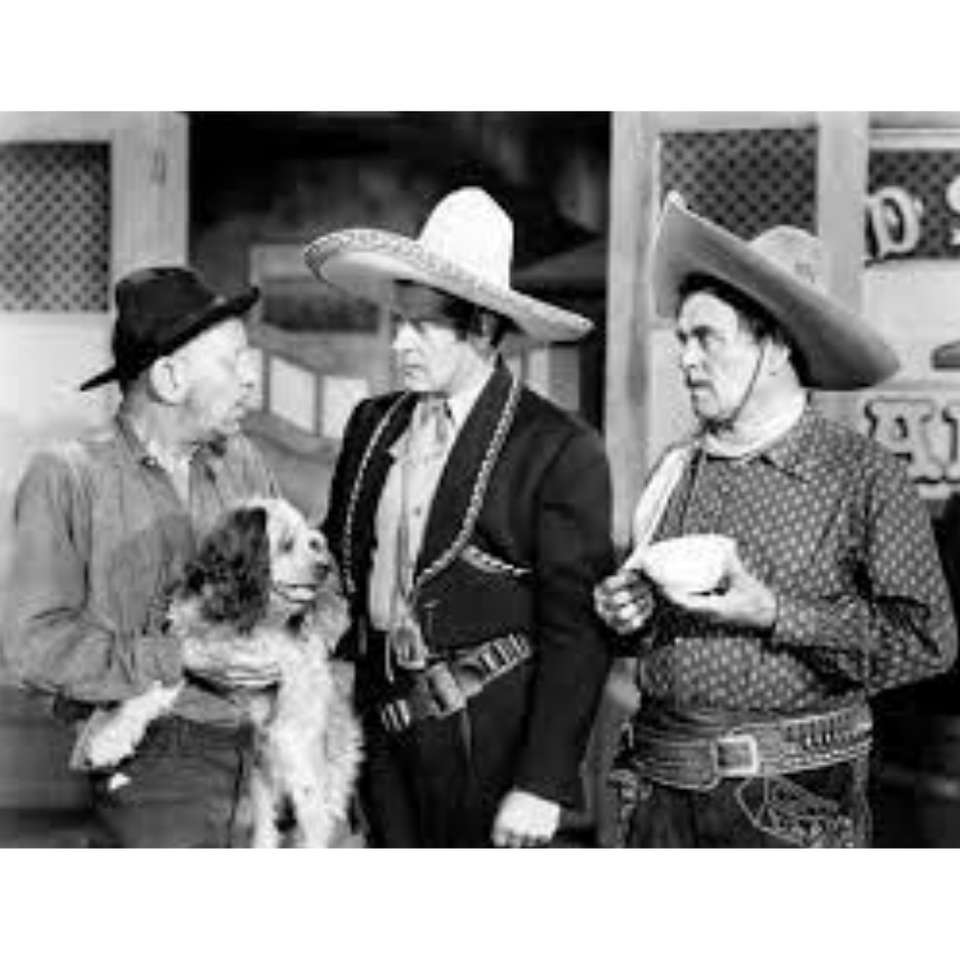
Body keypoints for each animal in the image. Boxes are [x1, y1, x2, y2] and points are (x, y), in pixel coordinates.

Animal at [72, 498, 362, 848]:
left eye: (314, 543)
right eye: (286, 544)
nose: (326, 567)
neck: (235, 606)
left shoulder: (274, 657)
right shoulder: (186, 646)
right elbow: (154, 686)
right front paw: (111, 740)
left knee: (315, 822)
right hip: (260, 774)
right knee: (268, 824)